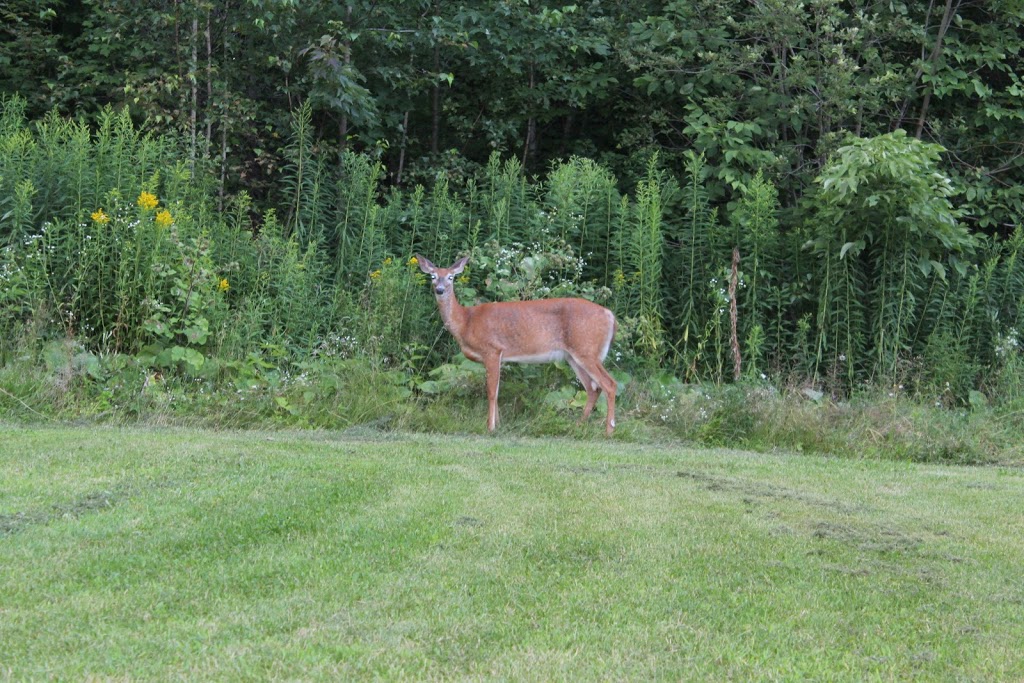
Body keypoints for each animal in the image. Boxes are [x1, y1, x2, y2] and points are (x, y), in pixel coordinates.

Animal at [413, 253, 614, 436]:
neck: (466, 322)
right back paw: (577, 426)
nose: (439, 290)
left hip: (586, 349)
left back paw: (609, 431)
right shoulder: (499, 357)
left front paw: (490, 427)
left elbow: (491, 392)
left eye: (451, 277)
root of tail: (609, 315)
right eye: (432, 276)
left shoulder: (492, 350)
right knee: (593, 389)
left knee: (609, 384)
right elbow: (497, 391)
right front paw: (499, 425)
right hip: (573, 355)